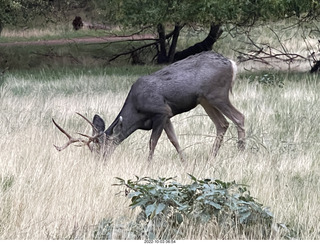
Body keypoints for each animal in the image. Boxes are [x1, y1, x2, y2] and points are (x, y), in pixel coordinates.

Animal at [53, 52, 246, 160]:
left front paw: (148, 164)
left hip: (217, 94)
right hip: (204, 99)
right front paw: (184, 161)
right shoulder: (167, 115)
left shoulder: (160, 111)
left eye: (102, 147)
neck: (137, 112)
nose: (98, 162)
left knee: (239, 117)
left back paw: (240, 151)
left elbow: (152, 142)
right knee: (222, 124)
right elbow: (174, 140)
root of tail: (232, 64)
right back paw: (211, 156)